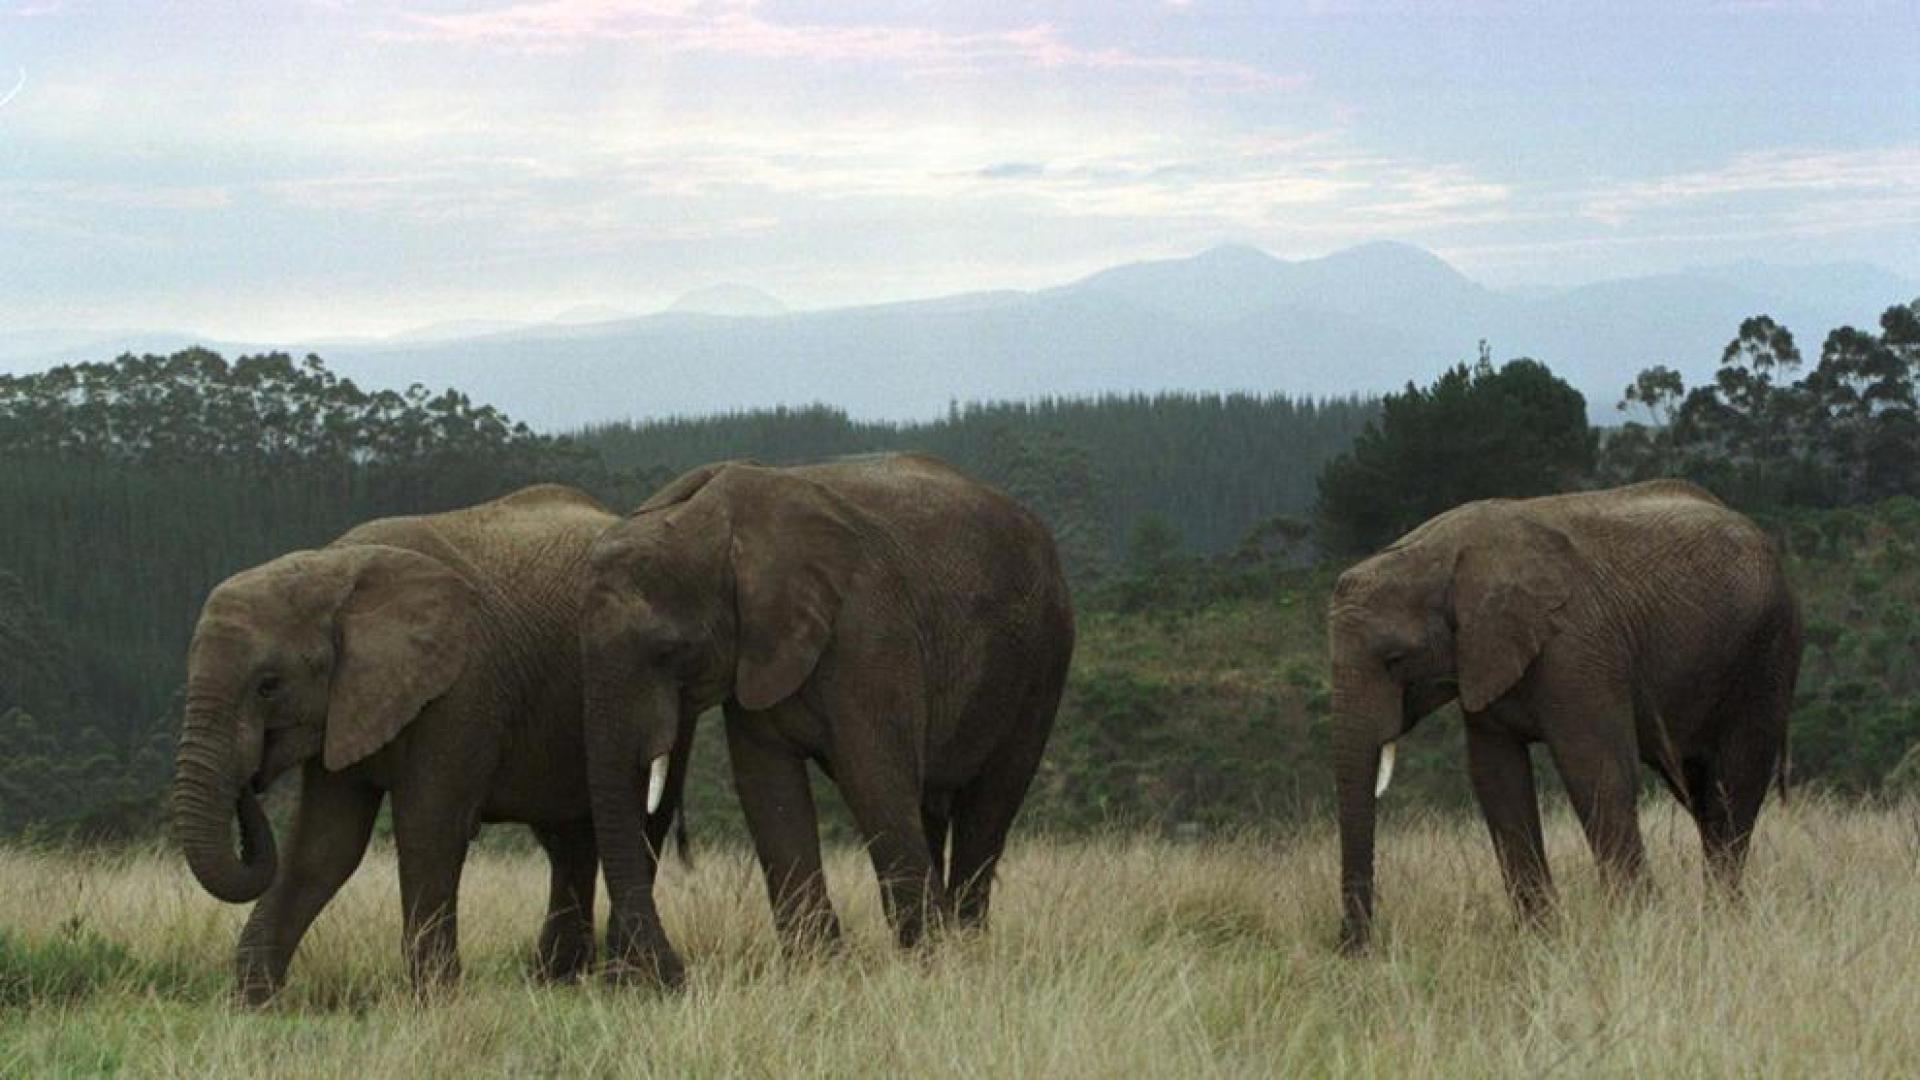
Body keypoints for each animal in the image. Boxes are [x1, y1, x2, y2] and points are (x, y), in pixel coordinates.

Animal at [169, 484, 680, 1003]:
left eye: (268, 686)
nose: (250, 782)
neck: (336, 570)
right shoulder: (348, 702)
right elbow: (326, 844)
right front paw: (255, 1000)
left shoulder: (461, 686)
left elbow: (429, 828)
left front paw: (435, 996)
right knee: (565, 837)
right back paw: (556, 978)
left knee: (637, 823)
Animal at [579, 453, 1073, 986]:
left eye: (669, 651)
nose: (674, 975)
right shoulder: (758, 652)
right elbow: (768, 789)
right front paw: (820, 970)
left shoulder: (868, 635)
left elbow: (874, 779)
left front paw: (931, 968)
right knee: (930, 806)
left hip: (1044, 660)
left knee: (990, 802)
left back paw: (966, 947)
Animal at [1328, 480, 1801, 950]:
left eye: (1395, 660)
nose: (1352, 947)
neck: (1436, 555)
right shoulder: (1484, 662)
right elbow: (1497, 778)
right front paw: (1541, 940)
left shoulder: (1576, 648)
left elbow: (1593, 768)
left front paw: (1634, 925)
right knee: (1699, 792)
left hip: (1766, 655)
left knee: (1732, 787)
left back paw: (1724, 917)